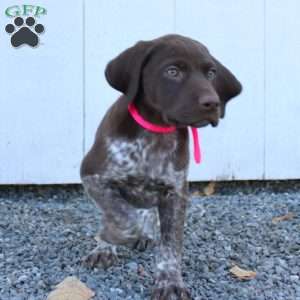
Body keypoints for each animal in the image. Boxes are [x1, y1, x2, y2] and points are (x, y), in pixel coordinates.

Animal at [81, 34, 243, 298]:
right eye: (172, 71)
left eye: (211, 73)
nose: (213, 103)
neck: (155, 132)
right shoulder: (93, 176)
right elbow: (119, 212)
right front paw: (112, 237)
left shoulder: (175, 193)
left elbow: (170, 245)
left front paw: (169, 282)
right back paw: (105, 247)